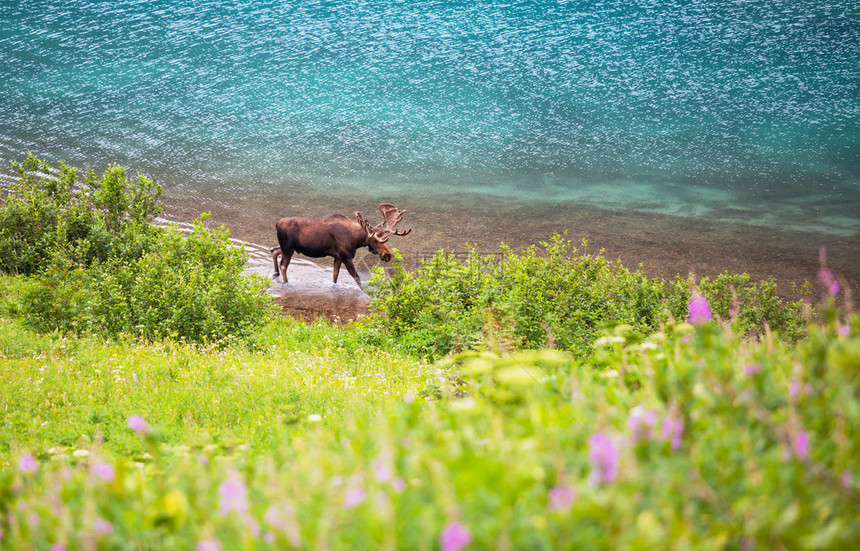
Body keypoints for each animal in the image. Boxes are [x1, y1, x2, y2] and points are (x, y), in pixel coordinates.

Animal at [274, 204, 412, 288]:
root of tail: (277, 223)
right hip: (288, 248)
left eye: (384, 238)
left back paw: (275, 273)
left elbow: (335, 275)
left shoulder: (338, 256)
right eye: (375, 240)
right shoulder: (346, 256)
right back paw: (286, 283)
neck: (356, 241)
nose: (388, 255)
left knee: (274, 250)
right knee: (283, 266)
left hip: (288, 248)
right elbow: (357, 278)